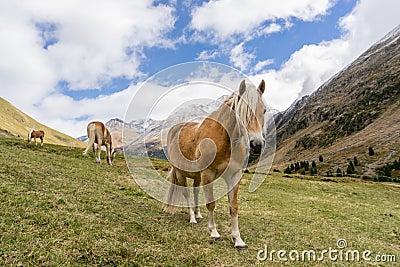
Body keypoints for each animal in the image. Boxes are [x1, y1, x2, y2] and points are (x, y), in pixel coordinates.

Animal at [164, 80, 268, 251]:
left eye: (264, 110)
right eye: (241, 111)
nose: (257, 145)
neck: (225, 139)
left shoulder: (234, 176)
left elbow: (233, 207)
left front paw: (238, 239)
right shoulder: (208, 173)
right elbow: (211, 204)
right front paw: (213, 232)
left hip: (197, 176)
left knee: (195, 191)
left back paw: (198, 214)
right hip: (180, 173)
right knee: (187, 193)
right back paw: (192, 217)